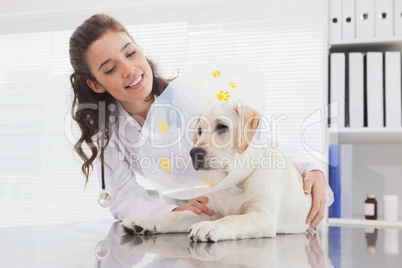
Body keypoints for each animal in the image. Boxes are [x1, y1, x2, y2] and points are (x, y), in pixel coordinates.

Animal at [121, 101, 312, 242]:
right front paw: (145, 221)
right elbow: (173, 216)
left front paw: (209, 226)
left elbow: (232, 218)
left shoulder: (264, 216)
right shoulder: (208, 210)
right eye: (199, 131)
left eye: (221, 127)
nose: (194, 153)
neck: (233, 179)